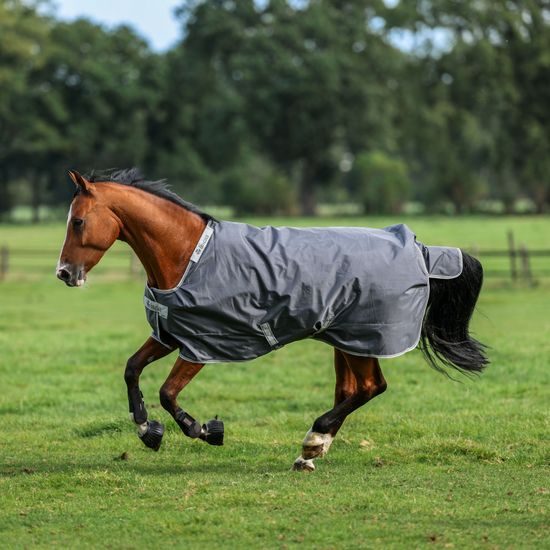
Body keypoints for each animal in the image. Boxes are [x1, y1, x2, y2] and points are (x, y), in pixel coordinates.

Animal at [55, 170, 488, 472]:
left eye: (77, 222)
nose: (64, 273)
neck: (186, 254)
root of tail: (419, 248)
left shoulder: (201, 344)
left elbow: (167, 392)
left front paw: (204, 430)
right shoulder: (169, 333)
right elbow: (131, 369)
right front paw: (147, 431)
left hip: (363, 337)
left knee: (370, 387)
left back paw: (313, 439)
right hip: (345, 339)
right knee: (350, 389)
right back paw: (311, 452)